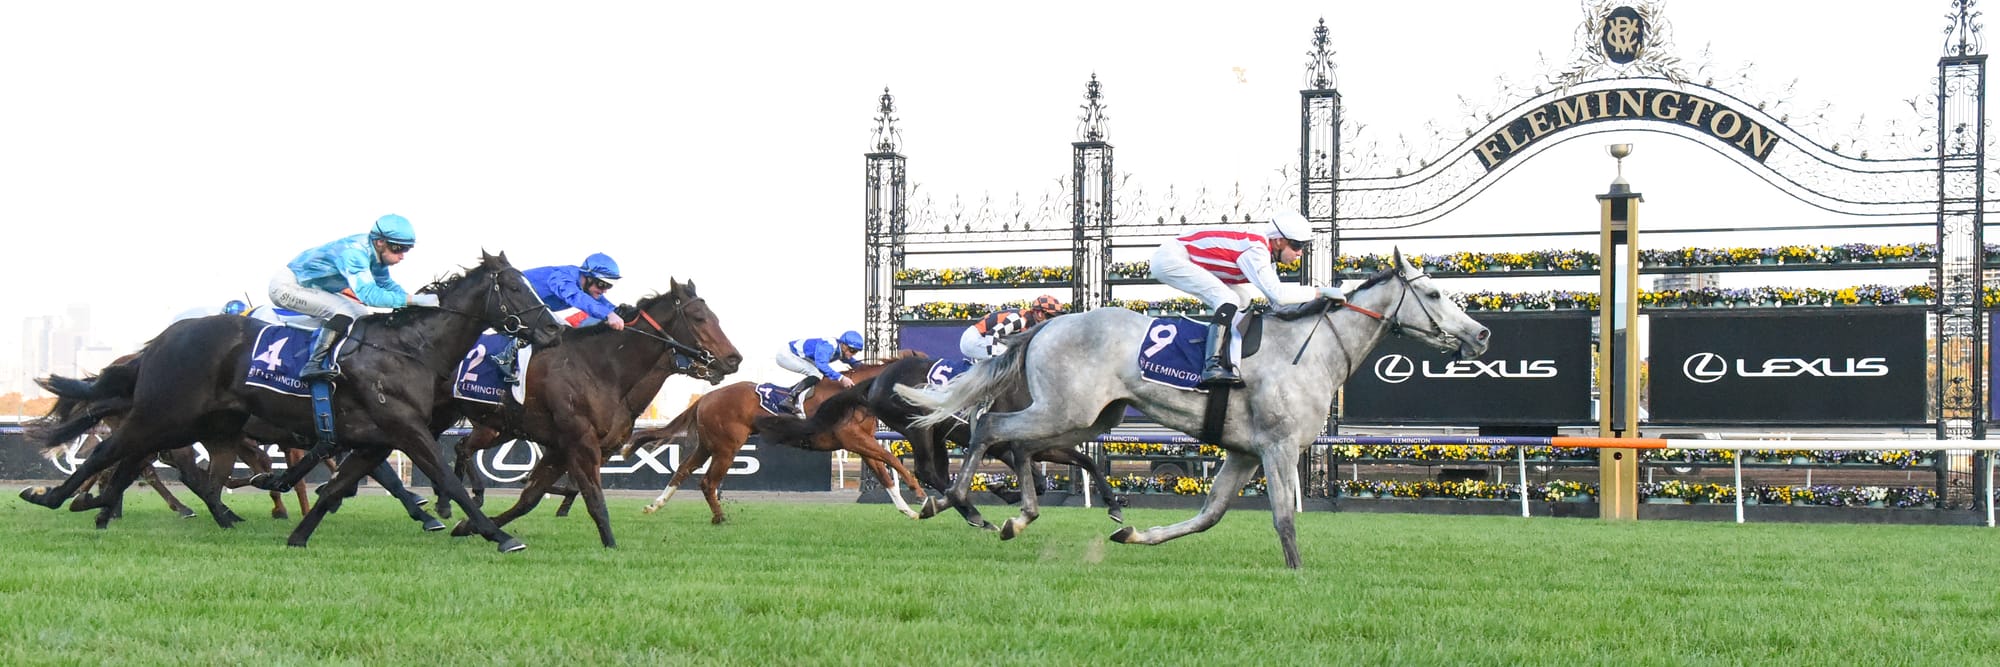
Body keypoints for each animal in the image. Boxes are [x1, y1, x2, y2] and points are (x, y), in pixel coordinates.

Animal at [25, 251, 564, 551]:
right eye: (515, 287)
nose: (554, 331)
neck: (409, 347)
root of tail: (161, 339)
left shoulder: (376, 436)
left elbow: (338, 486)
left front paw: (299, 534)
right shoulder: (406, 429)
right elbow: (445, 480)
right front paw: (497, 535)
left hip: (206, 424)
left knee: (154, 464)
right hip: (167, 412)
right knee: (112, 452)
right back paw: (53, 496)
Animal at [446, 281, 744, 547]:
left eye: (715, 318)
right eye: (699, 318)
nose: (734, 359)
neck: (600, 368)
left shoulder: (569, 448)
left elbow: (531, 497)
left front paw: (470, 526)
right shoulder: (580, 442)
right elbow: (592, 496)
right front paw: (610, 545)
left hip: (497, 427)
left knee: (462, 447)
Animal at [632, 353, 928, 527]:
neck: (855, 395)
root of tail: (706, 397)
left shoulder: (861, 442)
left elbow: (886, 476)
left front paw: (911, 510)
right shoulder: (853, 439)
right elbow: (891, 459)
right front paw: (920, 493)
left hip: (708, 445)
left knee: (682, 471)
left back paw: (655, 505)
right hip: (727, 447)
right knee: (707, 482)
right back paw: (719, 517)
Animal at [752, 353, 1128, 527]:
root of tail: (876, 381)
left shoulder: (1044, 447)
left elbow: (1083, 463)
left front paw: (1113, 506)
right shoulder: (1012, 446)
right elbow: (1039, 477)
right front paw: (1001, 491)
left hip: (933, 433)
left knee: (937, 473)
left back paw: (957, 507)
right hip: (916, 427)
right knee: (926, 471)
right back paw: (966, 512)